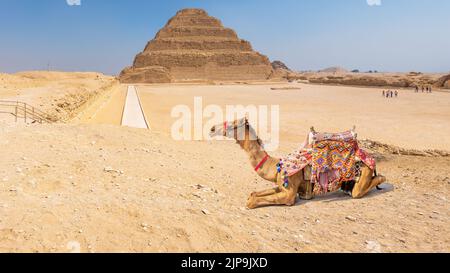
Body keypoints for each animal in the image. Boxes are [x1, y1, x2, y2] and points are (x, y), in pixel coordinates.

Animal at [209, 117, 384, 208]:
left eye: (233, 124)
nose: (211, 129)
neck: (275, 166)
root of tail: (369, 156)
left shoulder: (290, 194)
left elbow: (251, 201)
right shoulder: (281, 185)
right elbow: (253, 193)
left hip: (364, 172)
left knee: (369, 184)